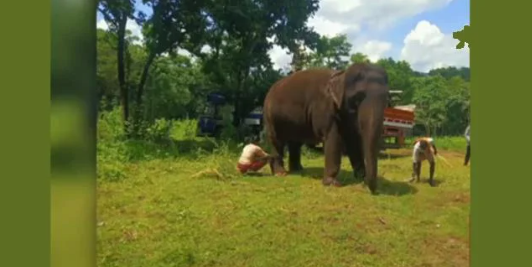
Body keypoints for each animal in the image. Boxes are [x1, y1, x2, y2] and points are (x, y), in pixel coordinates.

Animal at [264, 62, 388, 195]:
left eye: (387, 99)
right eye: (357, 99)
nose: (374, 191)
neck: (341, 75)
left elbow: (353, 139)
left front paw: (361, 178)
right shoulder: (324, 108)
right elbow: (333, 138)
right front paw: (333, 184)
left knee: (295, 143)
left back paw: (298, 170)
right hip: (270, 117)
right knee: (277, 141)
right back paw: (280, 173)